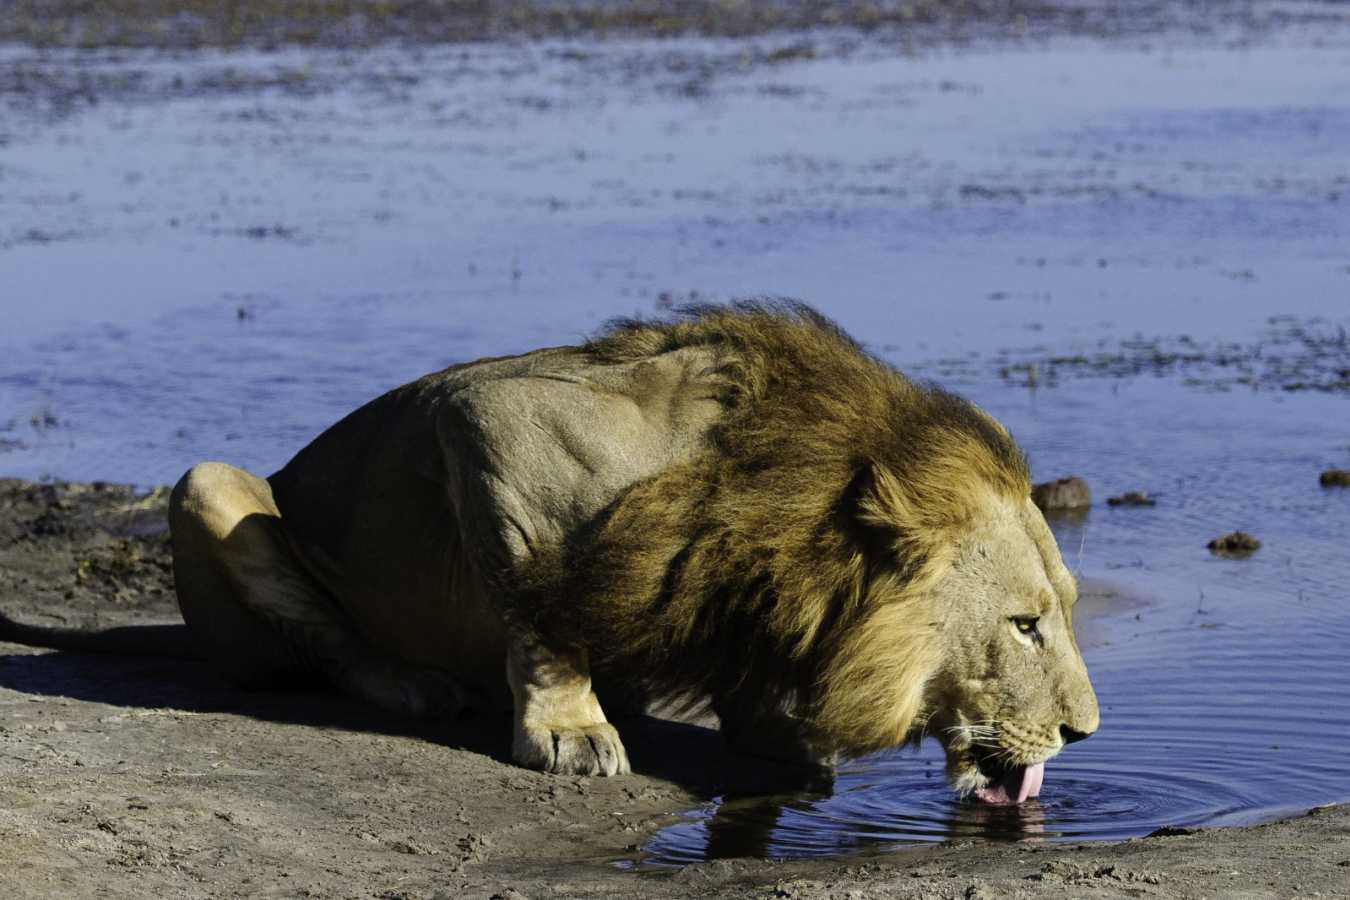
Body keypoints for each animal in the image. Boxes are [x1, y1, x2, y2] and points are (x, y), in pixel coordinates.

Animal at [0, 301, 1097, 802]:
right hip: (209, 485)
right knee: (335, 647)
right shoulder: (488, 425)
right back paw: (420, 687)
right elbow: (540, 610)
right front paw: (572, 729)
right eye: (1025, 625)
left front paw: (771, 732)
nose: (1084, 734)